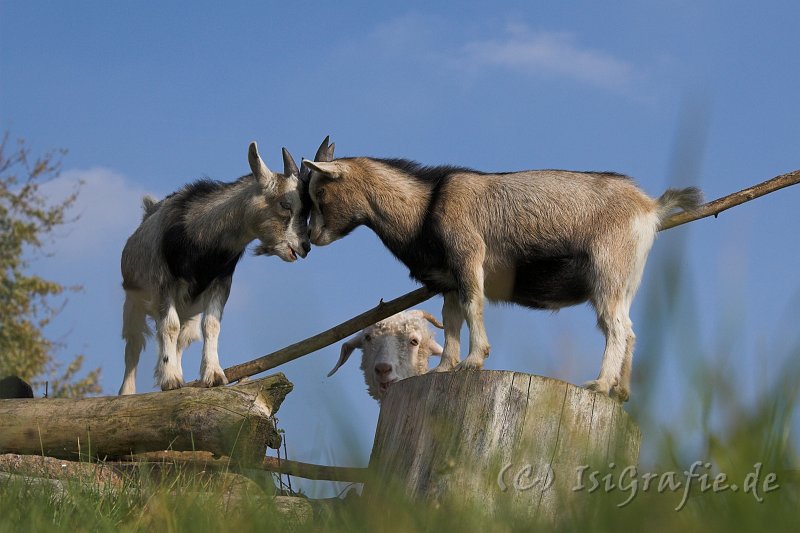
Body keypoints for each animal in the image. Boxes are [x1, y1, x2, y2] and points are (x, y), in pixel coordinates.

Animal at [117, 137, 332, 394]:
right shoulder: (164, 282)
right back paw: (127, 392)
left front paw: (213, 375)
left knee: (183, 338)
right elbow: (169, 326)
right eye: (285, 204)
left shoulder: (221, 281)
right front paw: (170, 379)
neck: (199, 239)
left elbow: (211, 325)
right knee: (134, 344)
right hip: (133, 300)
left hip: (188, 310)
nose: (304, 246)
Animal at [304, 156, 704, 402]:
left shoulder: (468, 254)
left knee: (616, 328)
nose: (310, 239)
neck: (425, 206)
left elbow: (472, 306)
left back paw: (600, 384)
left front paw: (473, 361)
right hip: (625, 281)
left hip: (608, 269)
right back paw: (621, 391)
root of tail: (649, 207)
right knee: (630, 329)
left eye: (320, 191)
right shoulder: (448, 279)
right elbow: (451, 320)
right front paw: (444, 368)